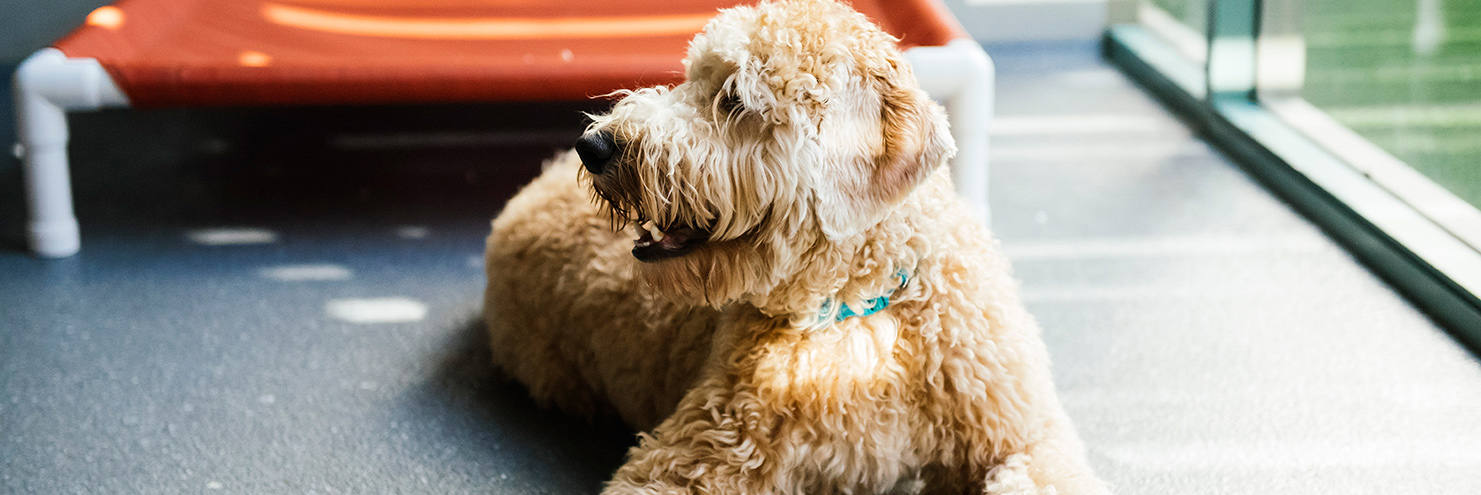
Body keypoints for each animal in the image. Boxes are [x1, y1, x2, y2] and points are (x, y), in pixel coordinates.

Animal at [483, 1, 1108, 493]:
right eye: (690, 77)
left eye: (733, 98)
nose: (594, 144)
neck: (859, 303)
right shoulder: (698, 455)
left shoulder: (1024, 436)